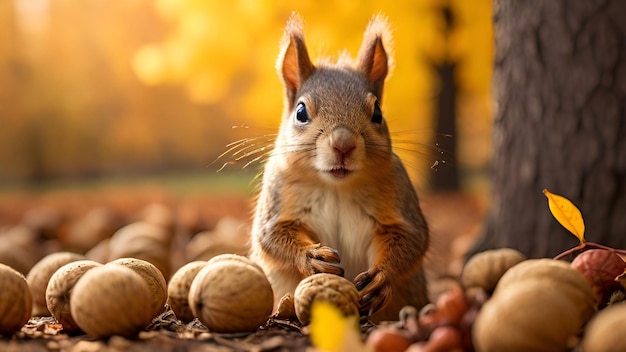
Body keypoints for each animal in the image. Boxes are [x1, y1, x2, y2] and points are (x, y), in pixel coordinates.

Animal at [249, 13, 428, 322]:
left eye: (378, 111)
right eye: (300, 112)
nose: (343, 144)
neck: (336, 187)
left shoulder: (399, 193)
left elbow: (411, 239)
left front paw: (381, 278)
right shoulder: (278, 195)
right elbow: (271, 237)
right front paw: (311, 257)